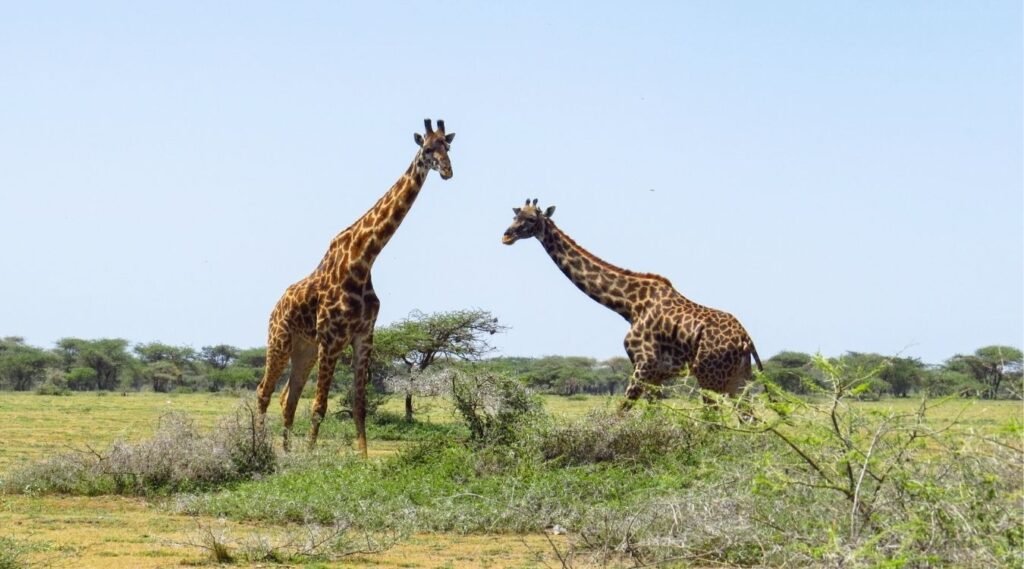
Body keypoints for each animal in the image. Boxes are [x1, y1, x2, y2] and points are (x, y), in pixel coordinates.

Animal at [256, 119, 455, 455]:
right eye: (428, 149)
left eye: (448, 147)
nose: (447, 170)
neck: (364, 258)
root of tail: (276, 305)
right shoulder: (332, 339)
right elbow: (320, 406)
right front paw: (311, 456)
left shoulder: (363, 336)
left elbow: (359, 405)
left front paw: (361, 459)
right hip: (280, 340)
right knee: (264, 392)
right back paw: (258, 446)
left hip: (305, 349)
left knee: (288, 397)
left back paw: (286, 451)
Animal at [501, 199, 762, 406]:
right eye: (515, 215)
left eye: (531, 218)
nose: (506, 236)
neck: (629, 305)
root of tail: (745, 339)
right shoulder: (657, 375)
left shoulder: (643, 366)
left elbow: (621, 413)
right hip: (737, 379)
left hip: (710, 376)